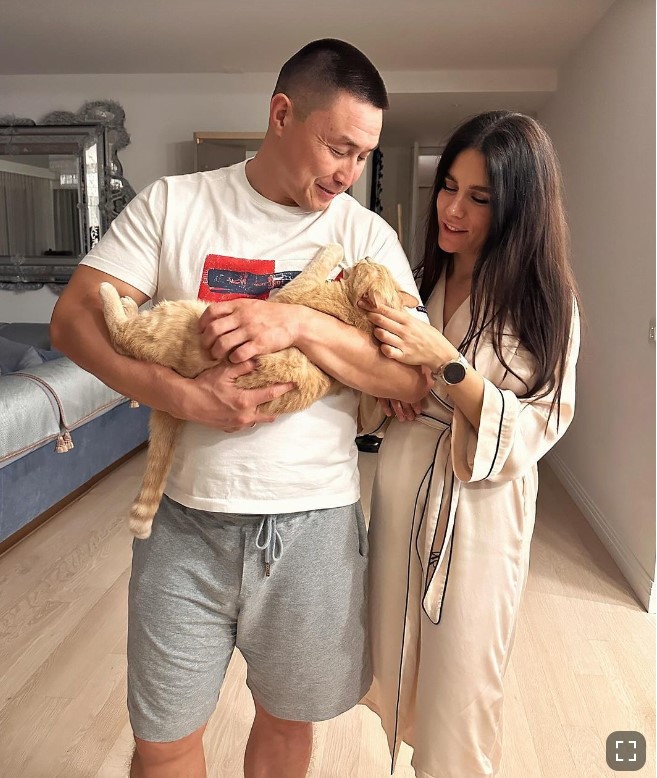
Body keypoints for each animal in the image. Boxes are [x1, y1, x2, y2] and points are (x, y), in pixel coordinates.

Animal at [99, 243, 417, 539]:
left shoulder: (292, 295)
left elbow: (318, 265)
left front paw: (333, 249)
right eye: (376, 265)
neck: (354, 315)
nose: (366, 257)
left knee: (121, 337)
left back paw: (113, 297)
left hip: (178, 315)